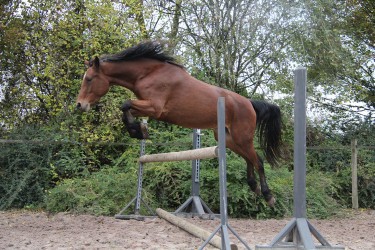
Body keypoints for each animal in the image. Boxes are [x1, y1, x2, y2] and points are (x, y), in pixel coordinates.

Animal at [76, 40, 282, 205]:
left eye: (89, 79)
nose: (80, 105)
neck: (148, 74)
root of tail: (249, 103)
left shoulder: (155, 107)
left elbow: (125, 104)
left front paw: (138, 130)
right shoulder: (148, 107)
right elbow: (125, 110)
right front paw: (139, 130)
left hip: (241, 138)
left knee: (258, 160)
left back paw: (268, 195)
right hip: (229, 139)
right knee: (250, 159)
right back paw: (254, 187)